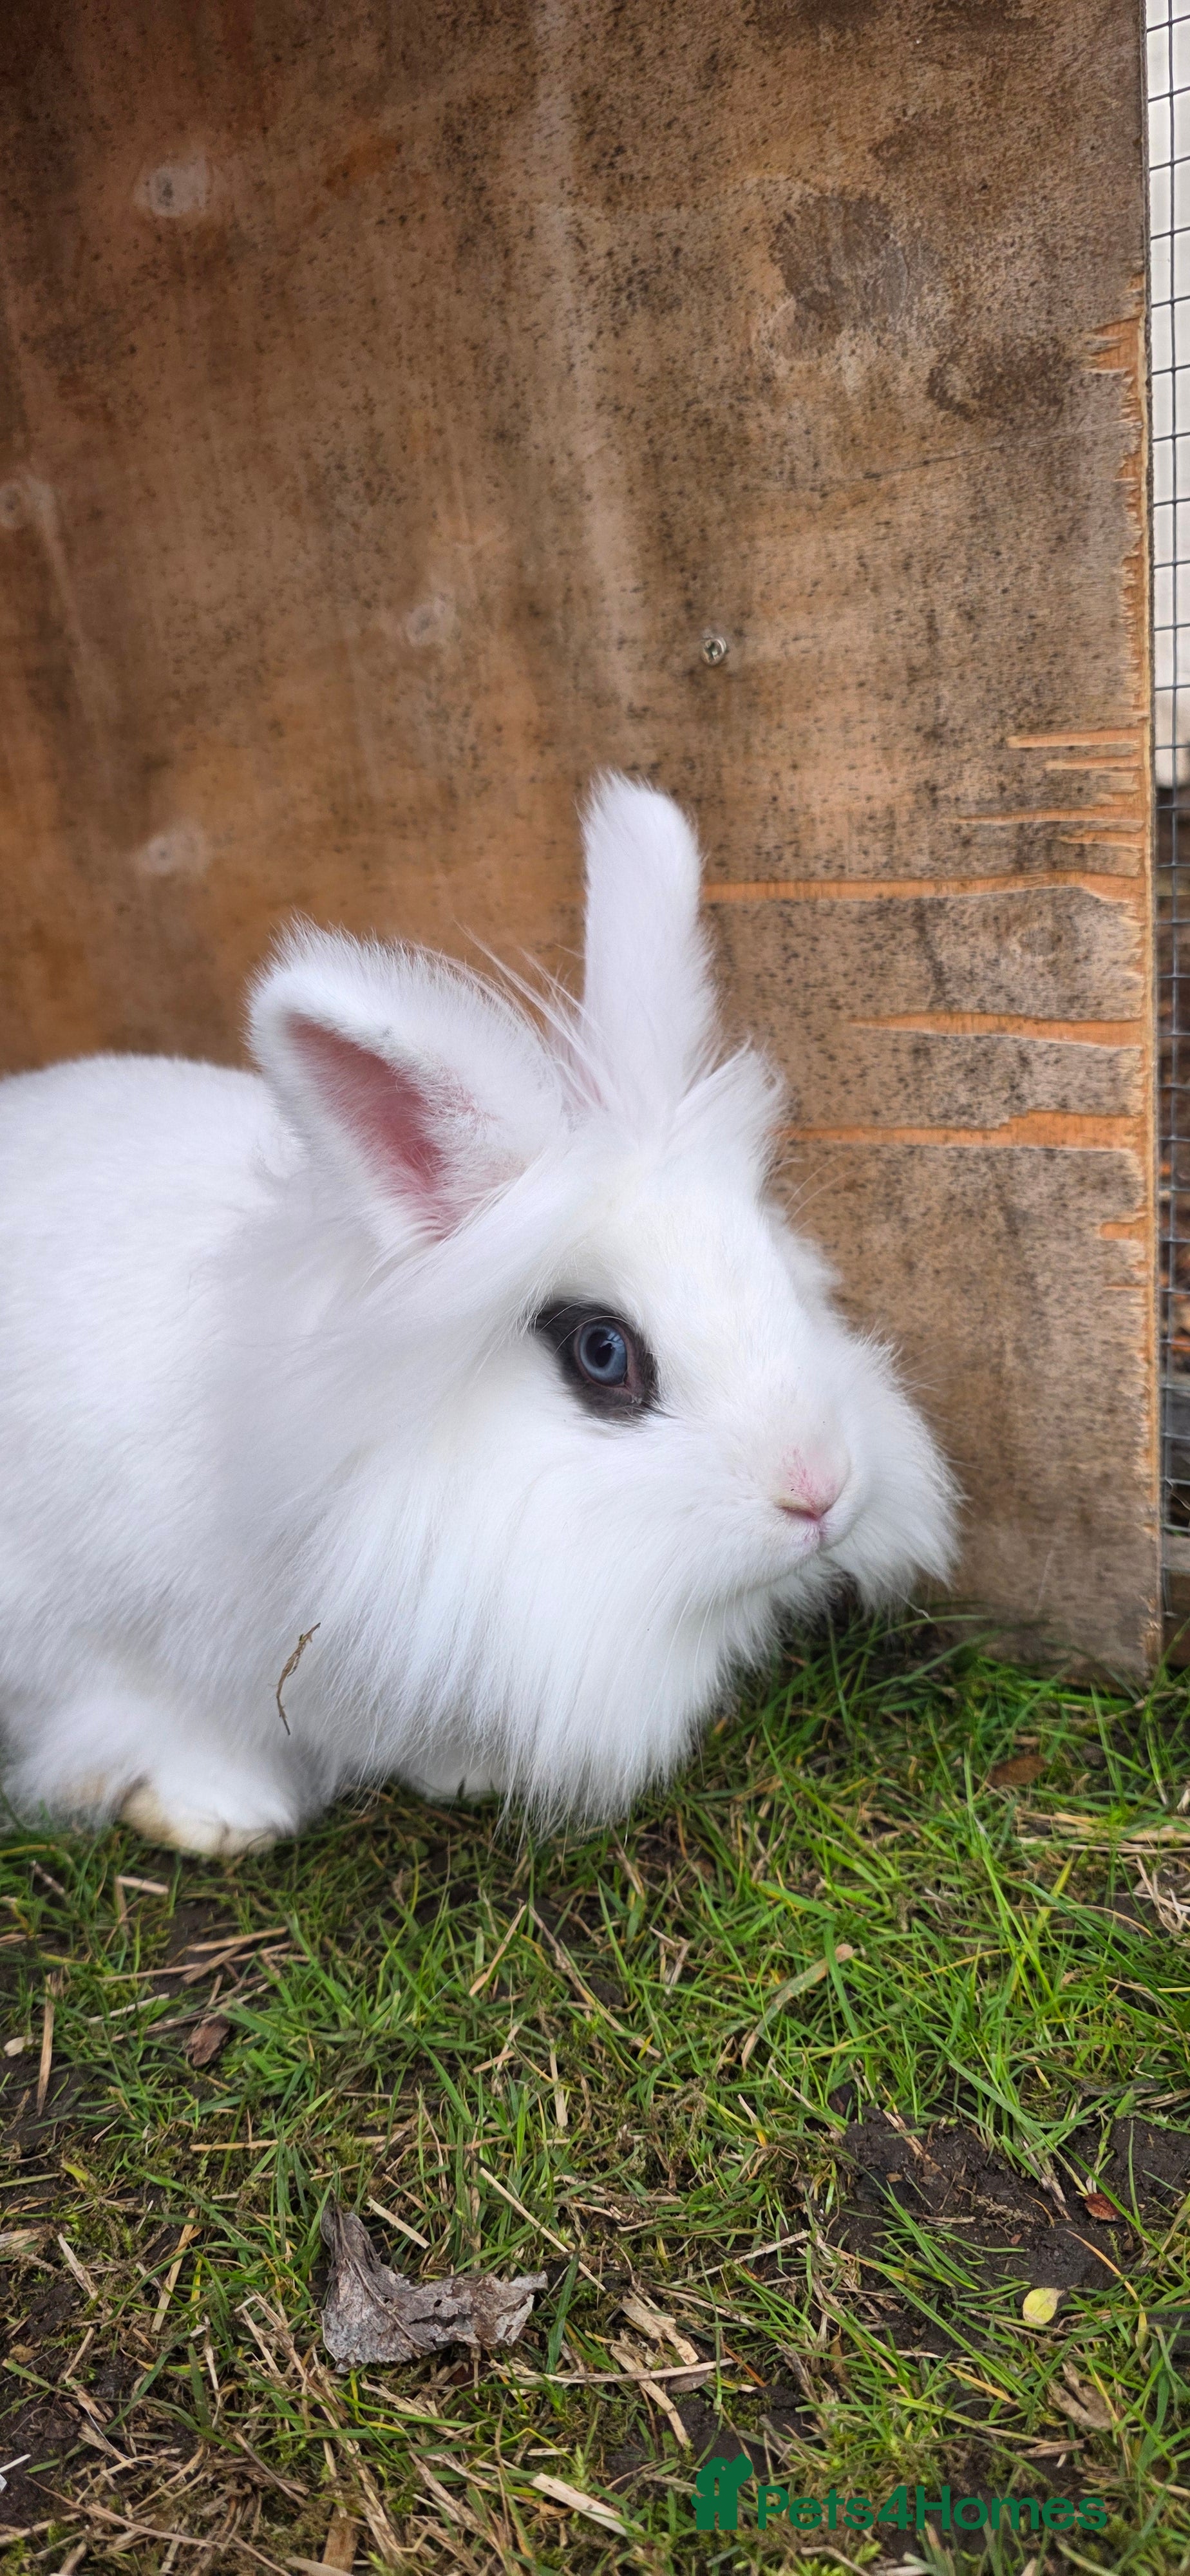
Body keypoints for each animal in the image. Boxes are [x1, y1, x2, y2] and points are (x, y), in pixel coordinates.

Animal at [0, 778, 956, 1853]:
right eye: (601, 1353)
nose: (821, 1494)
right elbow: (156, 1724)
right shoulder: (98, 1646)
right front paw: (222, 1816)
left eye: (776, 1269)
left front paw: (465, 1775)